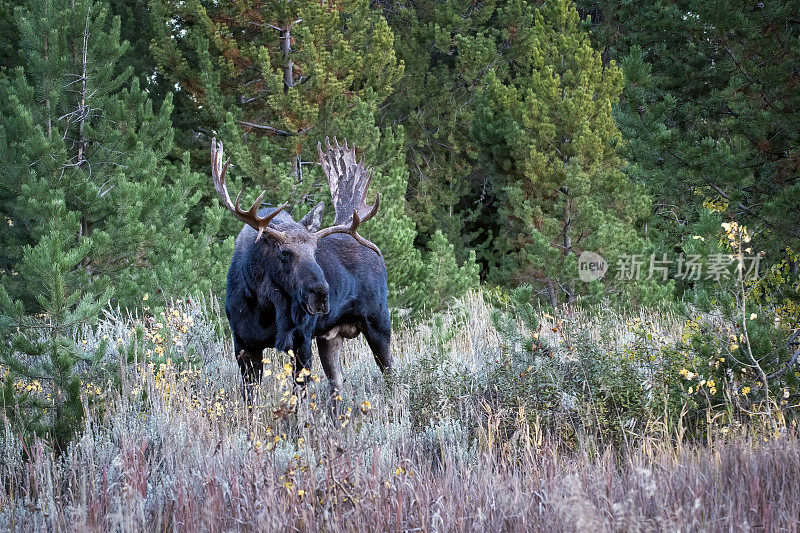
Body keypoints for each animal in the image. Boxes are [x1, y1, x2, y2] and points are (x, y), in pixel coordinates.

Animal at [211, 136, 396, 400]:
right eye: (284, 253)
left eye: (315, 250)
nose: (321, 294)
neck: (266, 307)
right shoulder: (244, 343)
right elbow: (250, 398)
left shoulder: (301, 339)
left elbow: (300, 396)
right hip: (331, 336)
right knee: (337, 382)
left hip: (379, 321)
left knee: (391, 374)